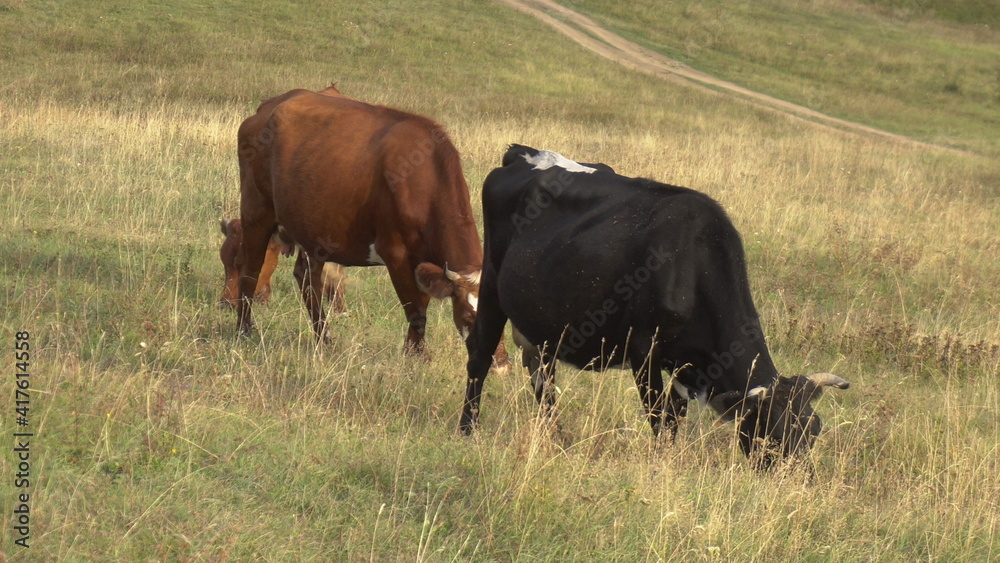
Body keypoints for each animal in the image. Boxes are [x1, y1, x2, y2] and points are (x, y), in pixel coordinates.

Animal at [233, 85, 508, 366]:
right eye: (469, 316)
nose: (500, 362)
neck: (423, 181)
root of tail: (271, 104)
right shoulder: (395, 253)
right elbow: (415, 309)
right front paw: (416, 356)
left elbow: (421, 303)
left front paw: (412, 351)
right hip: (256, 212)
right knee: (250, 269)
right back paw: (244, 330)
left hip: (312, 227)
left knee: (307, 279)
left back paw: (324, 338)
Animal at [464, 144, 848, 468]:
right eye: (771, 431)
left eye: (814, 429)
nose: (798, 483)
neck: (695, 262)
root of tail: (523, 153)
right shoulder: (643, 349)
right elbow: (659, 417)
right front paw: (659, 465)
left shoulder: (683, 364)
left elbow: (674, 414)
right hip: (492, 284)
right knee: (480, 356)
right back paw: (468, 430)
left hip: (544, 320)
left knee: (543, 377)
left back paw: (555, 439)